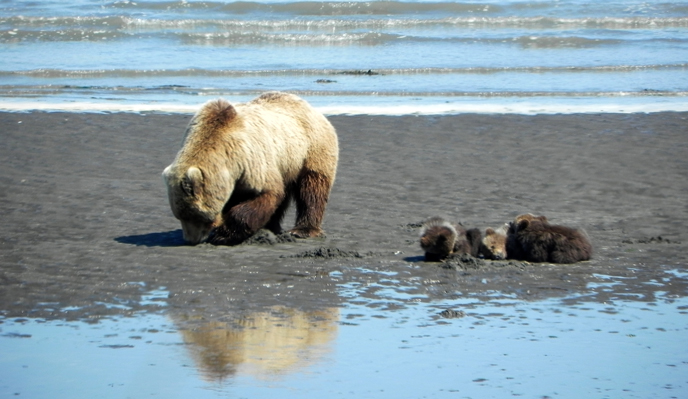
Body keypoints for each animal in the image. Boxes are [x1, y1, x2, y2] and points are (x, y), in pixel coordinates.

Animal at [165, 92, 342, 245]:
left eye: (195, 215)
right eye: (179, 216)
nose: (190, 240)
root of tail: (310, 107)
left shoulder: (251, 160)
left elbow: (266, 194)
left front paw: (224, 234)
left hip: (311, 149)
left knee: (312, 188)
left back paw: (303, 230)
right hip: (286, 163)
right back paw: (271, 227)